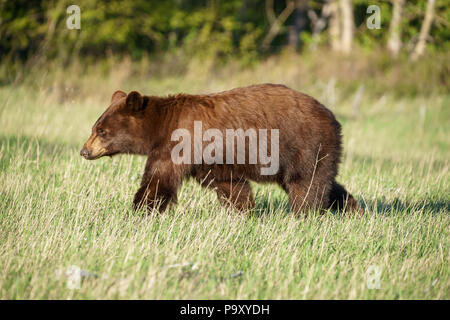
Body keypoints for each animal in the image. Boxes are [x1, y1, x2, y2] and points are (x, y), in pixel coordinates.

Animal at [80, 84, 362, 216]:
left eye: (102, 131)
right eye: (95, 127)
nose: (85, 151)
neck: (162, 126)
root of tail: (332, 117)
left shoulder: (180, 144)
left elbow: (158, 181)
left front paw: (137, 212)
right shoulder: (212, 162)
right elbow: (232, 187)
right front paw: (245, 214)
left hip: (303, 145)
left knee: (307, 184)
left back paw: (305, 214)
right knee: (327, 184)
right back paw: (353, 209)